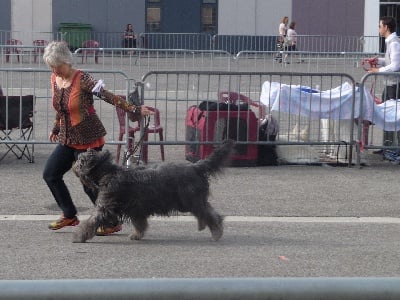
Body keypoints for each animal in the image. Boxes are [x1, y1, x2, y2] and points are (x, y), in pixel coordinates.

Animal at [72, 139, 234, 243]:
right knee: (206, 211)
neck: (108, 172)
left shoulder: (105, 206)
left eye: (81, 161)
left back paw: (216, 232)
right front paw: (137, 235)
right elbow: (140, 224)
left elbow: (92, 221)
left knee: (211, 215)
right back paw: (204, 226)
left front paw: (79, 236)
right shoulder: (136, 209)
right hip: (192, 201)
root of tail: (196, 166)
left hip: (191, 200)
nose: (74, 164)